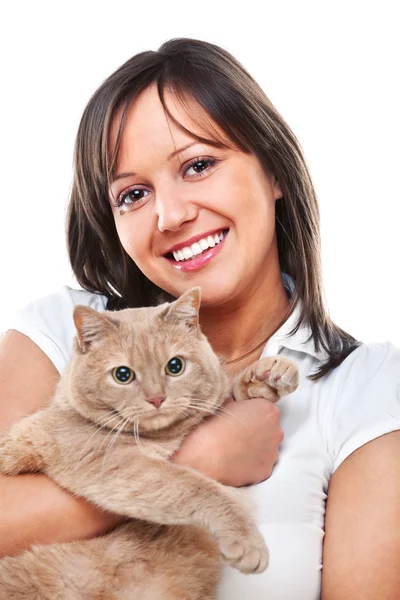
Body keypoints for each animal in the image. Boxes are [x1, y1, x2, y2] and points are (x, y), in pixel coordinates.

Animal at [0, 288, 298, 596]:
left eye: (175, 366)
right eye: (122, 374)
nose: (156, 398)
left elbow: (231, 393)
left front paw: (268, 376)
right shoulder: (113, 464)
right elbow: (197, 487)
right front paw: (247, 541)